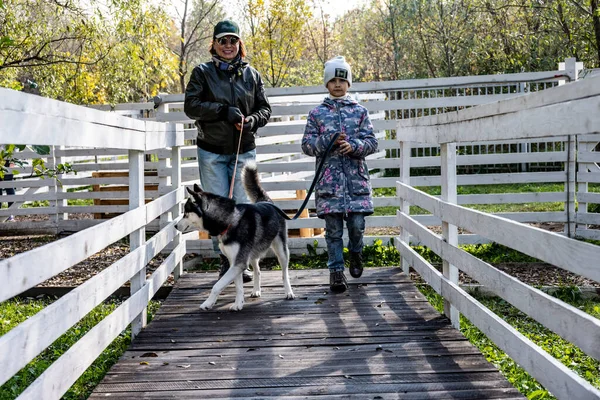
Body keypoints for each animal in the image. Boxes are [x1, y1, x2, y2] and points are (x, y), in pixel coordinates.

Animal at [173, 161, 296, 310]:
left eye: (185, 213)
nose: (175, 226)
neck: (229, 220)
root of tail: (266, 201)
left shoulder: (238, 263)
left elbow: (217, 286)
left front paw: (208, 303)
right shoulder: (235, 262)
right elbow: (238, 287)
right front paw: (238, 304)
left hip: (281, 251)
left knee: (284, 273)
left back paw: (289, 292)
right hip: (252, 254)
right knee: (258, 271)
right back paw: (256, 290)